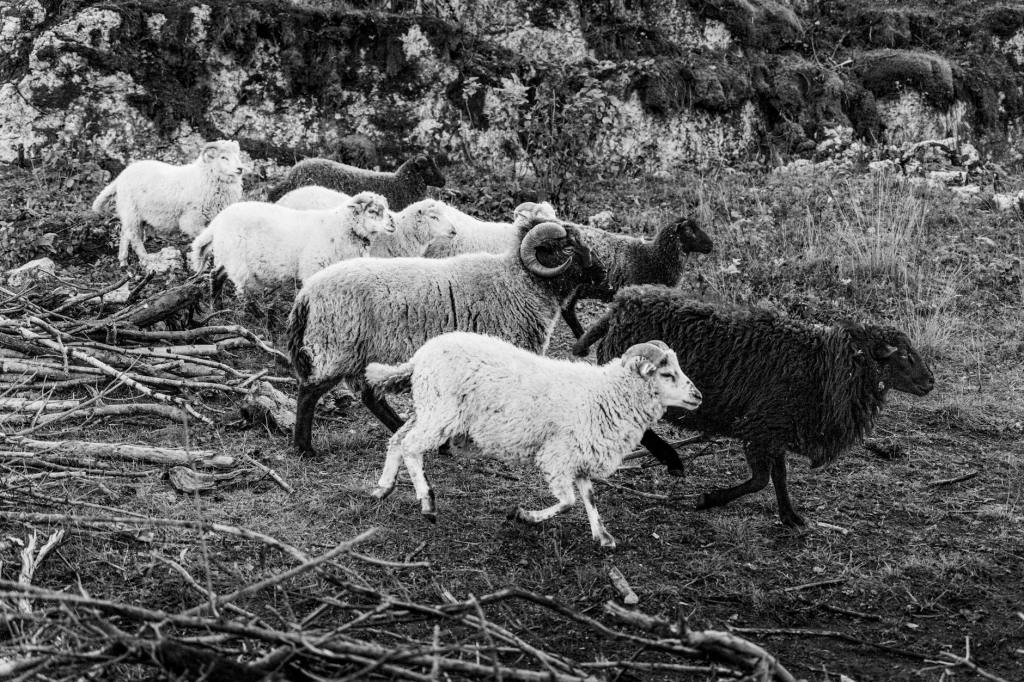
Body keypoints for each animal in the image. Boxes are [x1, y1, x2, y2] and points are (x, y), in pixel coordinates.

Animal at [92, 140, 244, 266]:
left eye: (237, 155)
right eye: (223, 157)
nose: (240, 169)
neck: (205, 176)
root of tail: (120, 177)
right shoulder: (191, 220)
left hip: (131, 214)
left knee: (125, 234)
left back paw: (123, 261)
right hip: (131, 212)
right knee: (134, 237)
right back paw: (147, 257)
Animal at [188, 192, 393, 296]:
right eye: (373, 211)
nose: (393, 224)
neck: (341, 227)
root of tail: (218, 220)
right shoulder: (313, 268)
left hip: (228, 256)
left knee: (216, 276)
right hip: (237, 259)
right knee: (238, 287)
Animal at [287, 220, 605, 456]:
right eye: (568, 247)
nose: (602, 273)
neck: (517, 282)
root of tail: (306, 295)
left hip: (362, 355)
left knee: (370, 397)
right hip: (336, 347)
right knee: (309, 392)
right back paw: (305, 449)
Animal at [365, 332, 702, 546]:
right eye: (667, 374)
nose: (698, 396)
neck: (606, 394)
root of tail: (420, 356)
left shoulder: (579, 455)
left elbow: (589, 496)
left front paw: (602, 536)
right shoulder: (557, 456)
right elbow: (567, 502)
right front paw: (523, 516)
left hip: (429, 409)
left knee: (398, 439)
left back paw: (383, 487)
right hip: (441, 413)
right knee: (411, 447)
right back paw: (427, 502)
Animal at [573, 285, 936, 527]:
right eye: (904, 356)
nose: (931, 382)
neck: (827, 364)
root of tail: (619, 306)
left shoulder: (776, 429)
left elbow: (779, 476)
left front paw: (791, 517)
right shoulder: (761, 426)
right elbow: (761, 480)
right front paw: (708, 500)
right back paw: (672, 460)